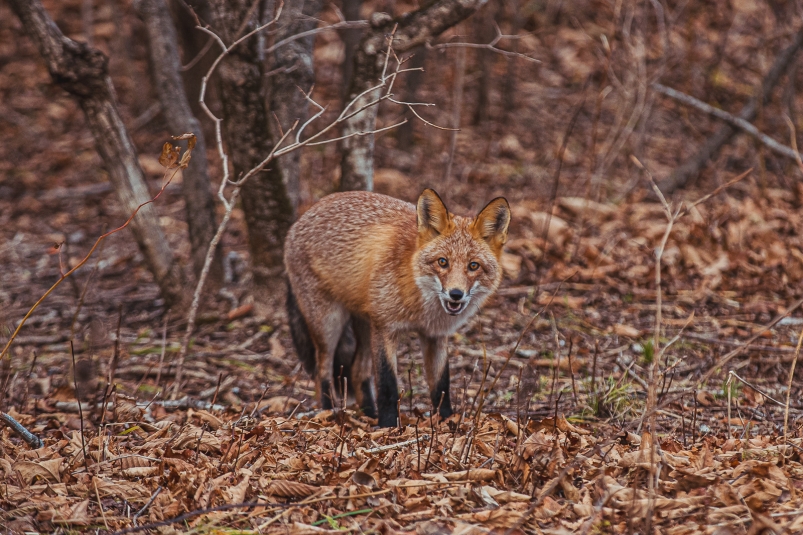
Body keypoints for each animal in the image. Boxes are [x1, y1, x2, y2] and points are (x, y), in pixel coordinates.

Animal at [284, 188, 508, 428]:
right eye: (442, 262)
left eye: (473, 266)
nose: (455, 294)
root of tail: (296, 224)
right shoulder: (385, 328)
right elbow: (387, 383)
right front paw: (388, 425)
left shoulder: (436, 335)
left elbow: (441, 385)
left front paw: (446, 421)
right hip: (329, 323)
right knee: (322, 371)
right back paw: (329, 412)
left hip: (365, 325)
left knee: (357, 371)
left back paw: (368, 414)